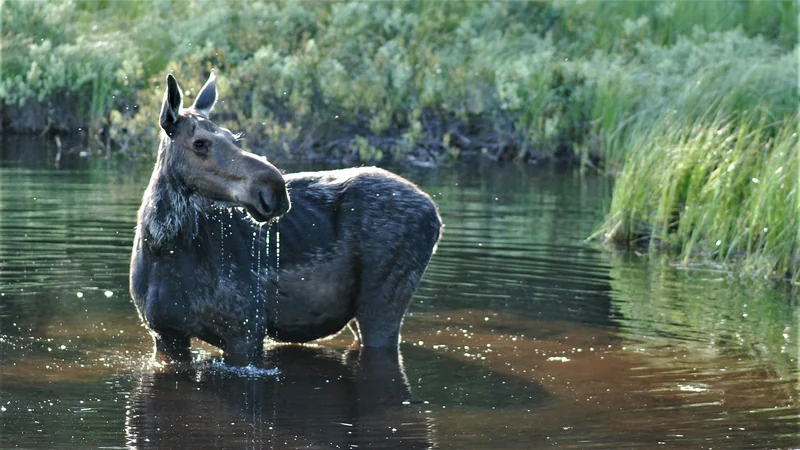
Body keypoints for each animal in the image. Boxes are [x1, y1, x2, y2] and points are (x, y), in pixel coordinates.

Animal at [131, 71, 444, 366]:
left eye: (233, 138)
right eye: (199, 143)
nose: (275, 189)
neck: (162, 249)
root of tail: (435, 213)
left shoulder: (245, 330)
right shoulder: (165, 335)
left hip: (383, 300)